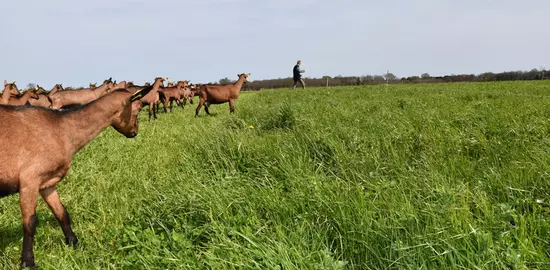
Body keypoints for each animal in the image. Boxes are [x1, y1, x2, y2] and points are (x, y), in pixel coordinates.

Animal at [0, 87, 153, 270]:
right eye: (137, 109)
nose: (134, 132)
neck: (62, 129)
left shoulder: (46, 183)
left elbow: (61, 213)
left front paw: (74, 243)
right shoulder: (29, 180)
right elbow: (29, 223)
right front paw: (28, 263)